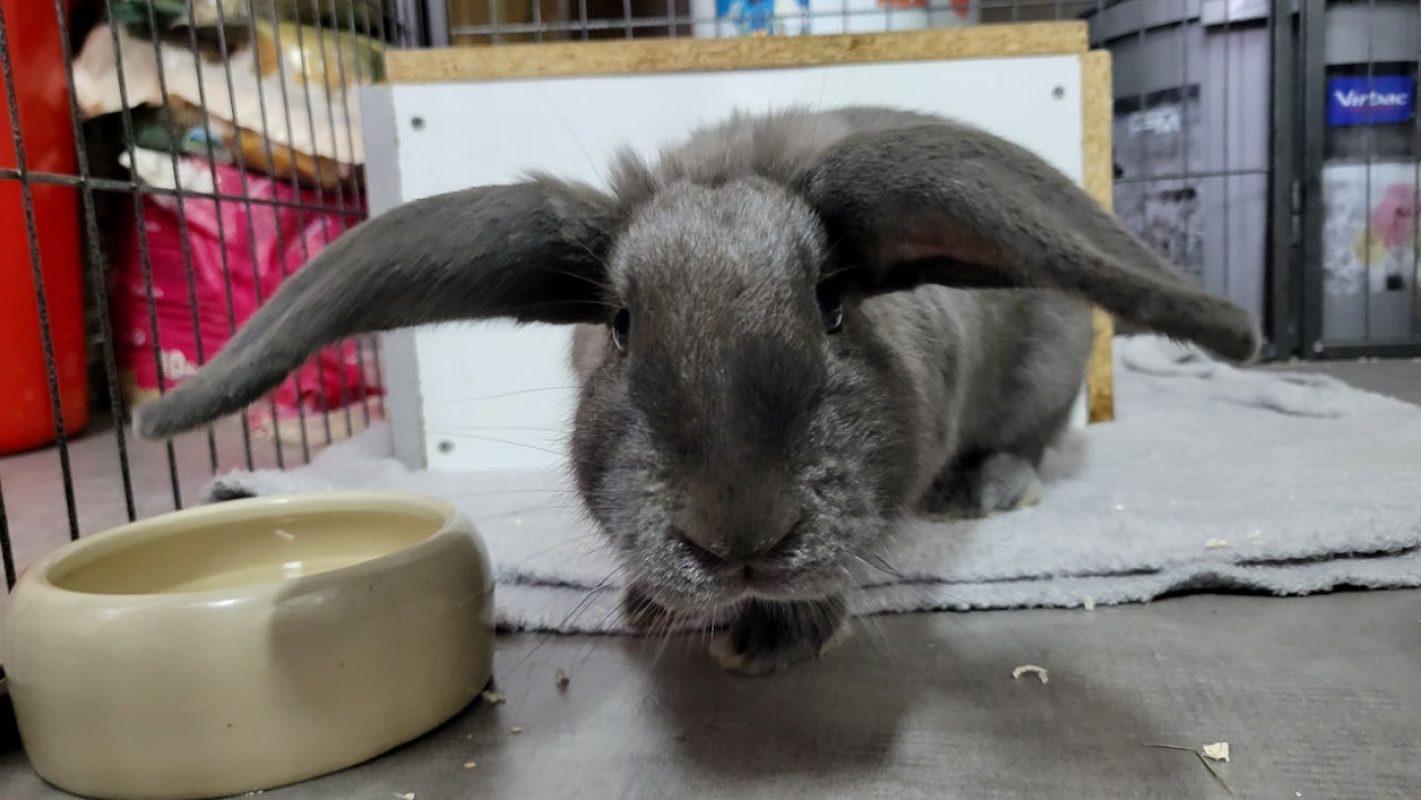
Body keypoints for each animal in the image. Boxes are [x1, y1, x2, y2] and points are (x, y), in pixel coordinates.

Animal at [134, 106, 1259, 675]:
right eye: (621, 326)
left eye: (830, 304)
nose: (738, 538)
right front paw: (649, 603)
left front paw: (778, 636)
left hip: (1046, 375)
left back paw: (982, 488)